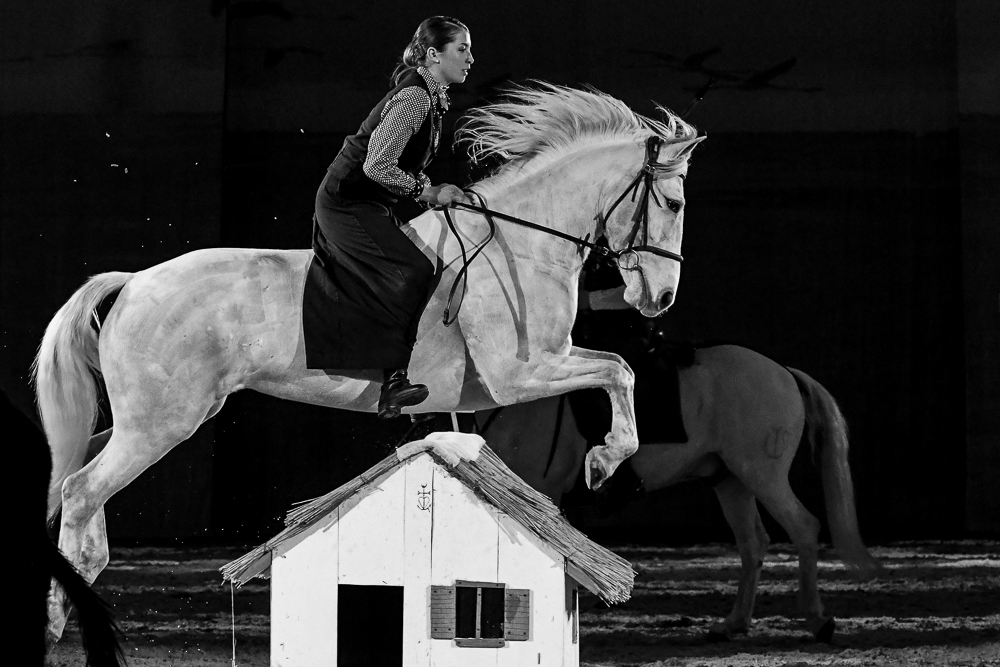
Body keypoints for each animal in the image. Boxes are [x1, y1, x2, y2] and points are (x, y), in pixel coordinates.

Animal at [33, 83, 703, 642]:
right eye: (672, 203)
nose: (662, 299)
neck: (522, 243)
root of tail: (136, 282)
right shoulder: (524, 373)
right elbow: (620, 369)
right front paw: (604, 461)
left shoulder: (538, 369)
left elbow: (617, 366)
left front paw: (603, 461)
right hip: (161, 424)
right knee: (83, 489)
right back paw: (59, 623)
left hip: (141, 422)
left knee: (77, 488)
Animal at [473, 337, 882, 642]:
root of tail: (783, 372)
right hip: (731, 481)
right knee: (754, 544)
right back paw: (733, 624)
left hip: (763, 475)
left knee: (802, 527)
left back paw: (817, 620)